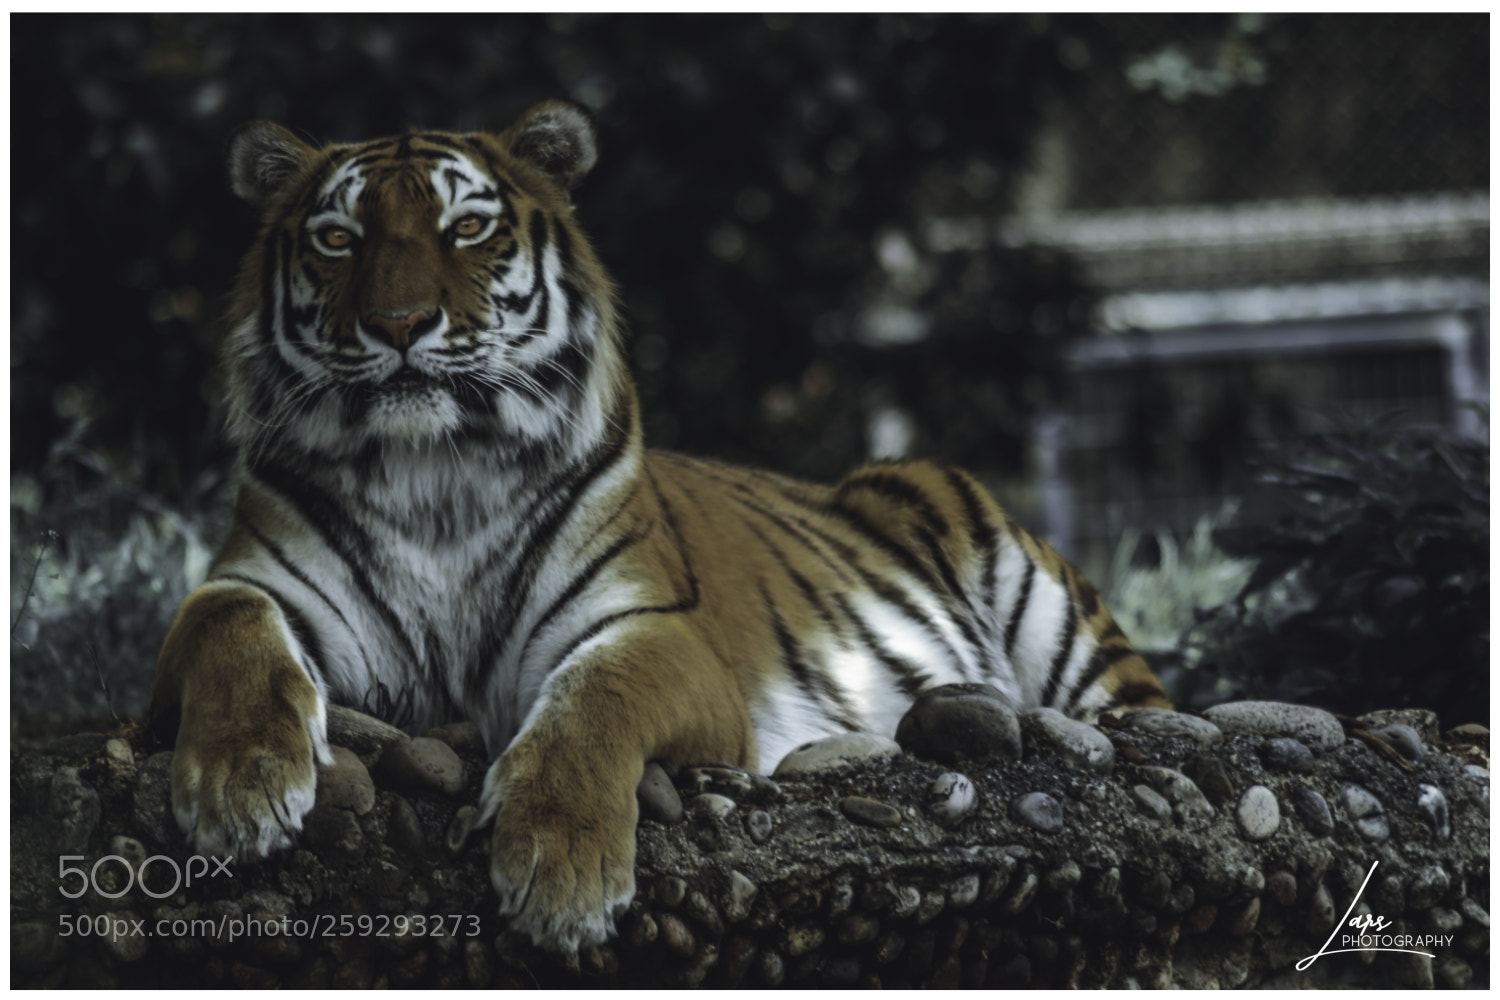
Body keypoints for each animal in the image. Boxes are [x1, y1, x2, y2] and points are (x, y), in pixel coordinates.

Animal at [149, 99, 1168, 956]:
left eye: (466, 228)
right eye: (337, 239)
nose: (398, 323)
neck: (433, 474)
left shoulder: (654, 630)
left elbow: (594, 698)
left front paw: (559, 873)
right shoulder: (256, 584)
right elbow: (225, 626)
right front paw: (240, 790)